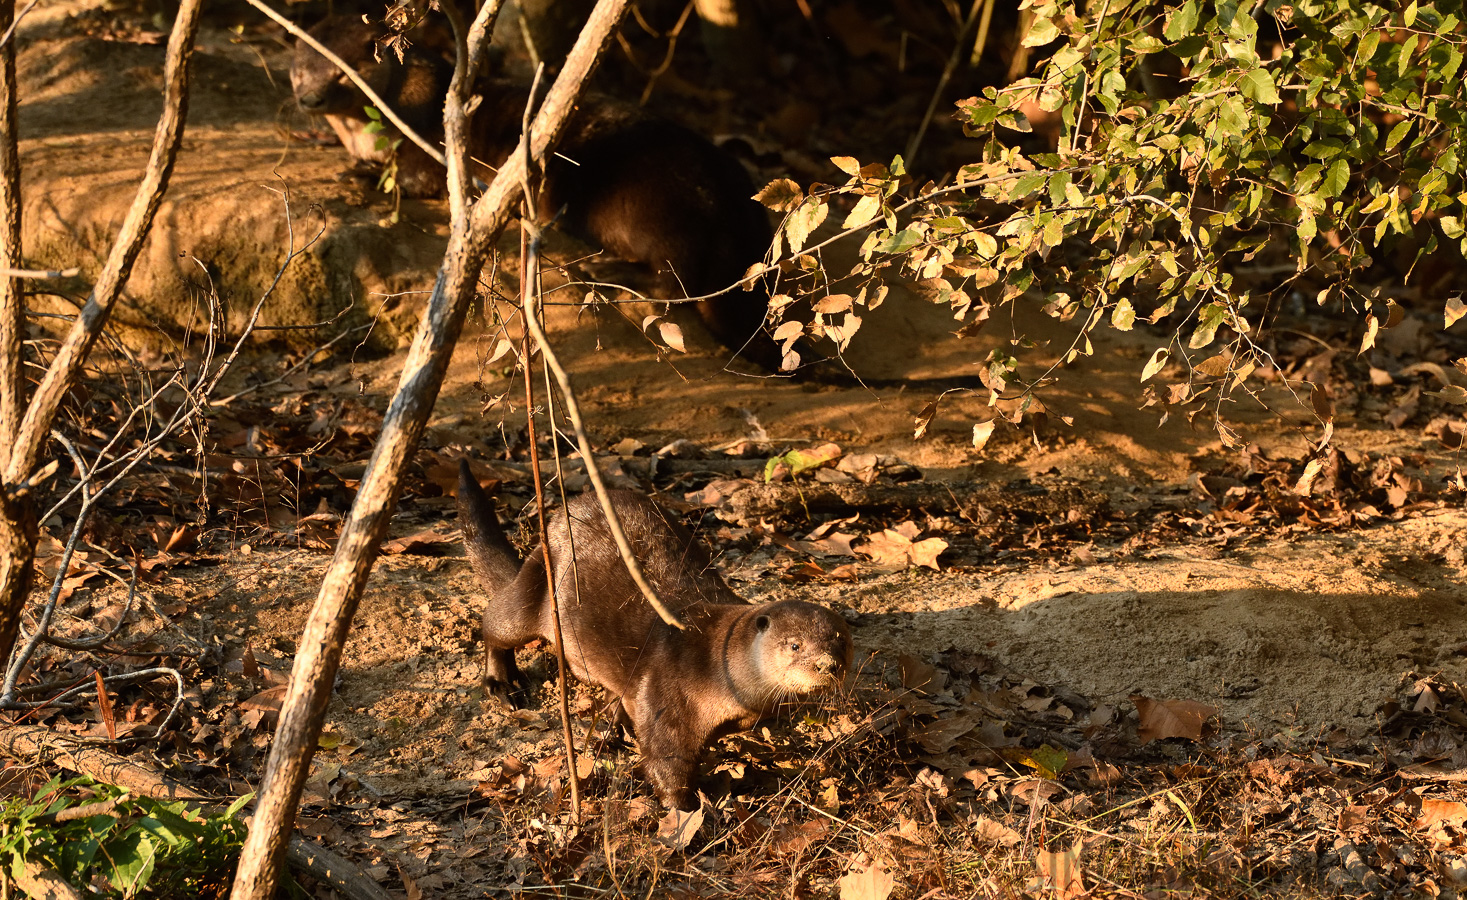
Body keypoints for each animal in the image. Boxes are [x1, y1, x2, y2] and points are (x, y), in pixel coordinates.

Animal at [454, 461, 850, 810]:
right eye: (795, 645)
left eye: (840, 642)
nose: (828, 665)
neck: (715, 666)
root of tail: (554, 519)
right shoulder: (667, 697)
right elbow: (666, 765)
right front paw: (686, 815)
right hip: (538, 583)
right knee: (495, 623)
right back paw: (502, 684)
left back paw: (611, 729)